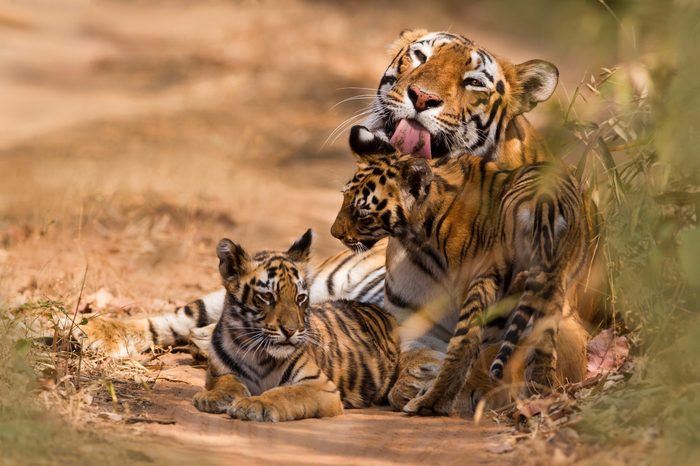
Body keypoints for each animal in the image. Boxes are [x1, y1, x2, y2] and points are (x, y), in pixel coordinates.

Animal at [191, 229, 400, 422]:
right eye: (267, 296)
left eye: (300, 298)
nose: (290, 331)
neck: (256, 354)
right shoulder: (218, 372)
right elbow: (227, 381)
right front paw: (213, 397)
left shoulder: (319, 385)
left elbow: (284, 393)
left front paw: (255, 404)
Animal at [330, 127, 592, 416]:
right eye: (343, 198)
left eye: (362, 213)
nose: (334, 233)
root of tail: (544, 204)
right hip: (551, 284)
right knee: (543, 343)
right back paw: (539, 394)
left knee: (466, 345)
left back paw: (431, 403)